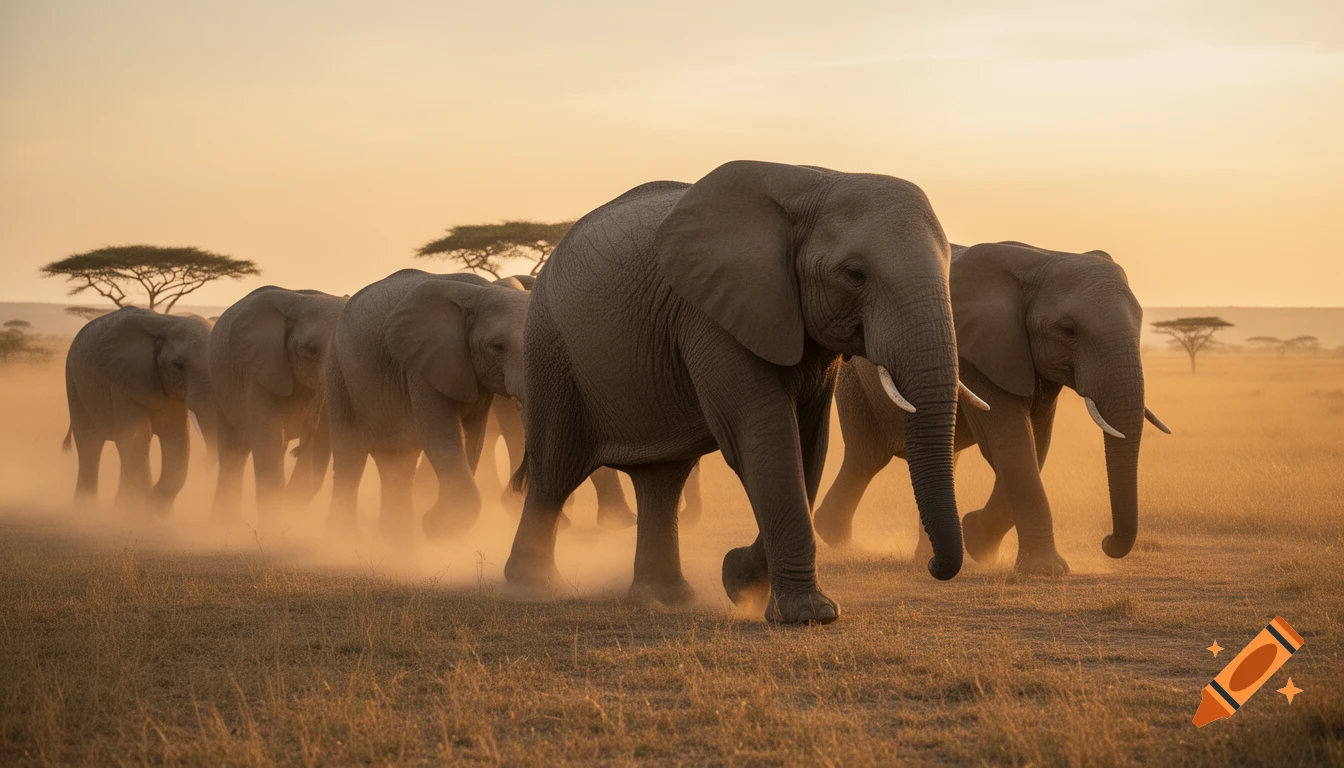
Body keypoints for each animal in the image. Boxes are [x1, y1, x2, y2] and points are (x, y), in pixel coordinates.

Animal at [62, 307, 215, 514]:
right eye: (178, 365)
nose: (204, 462)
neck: (168, 322)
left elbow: (176, 437)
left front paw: (153, 511)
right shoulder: (124, 381)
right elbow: (140, 435)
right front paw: (141, 511)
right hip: (74, 382)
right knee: (89, 444)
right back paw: (86, 510)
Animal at [208, 286, 347, 526]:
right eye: (311, 350)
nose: (296, 452)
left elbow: (320, 448)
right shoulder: (262, 370)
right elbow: (268, 442)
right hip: (221, 386)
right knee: (233, 454)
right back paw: (222, 526)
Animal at [324, 270, 529, 541]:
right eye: (497, 346)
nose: (513, 496)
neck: (482, 291)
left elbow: (473, 435)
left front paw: (435, 524)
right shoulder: (422, 363)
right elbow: (440, 432)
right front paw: (435, 526)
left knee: (397, 460)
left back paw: (394, 541)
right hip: (338, 370)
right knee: (351, 455)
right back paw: (344, 538)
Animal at [504, 160, 983, 624]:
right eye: (854, 274)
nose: (933, 567)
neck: (819, 183)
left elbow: (808, 443)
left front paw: (737, 580)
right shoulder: (712, 314)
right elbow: (764, 435)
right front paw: (808, 616)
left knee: (662, 480)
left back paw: (665, 599)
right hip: (550, 349)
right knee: (556, 470)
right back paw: (536, 588)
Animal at [812, 241, 1171, 574]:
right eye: (1067, 330)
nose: (1107, 542)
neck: (1042, 259)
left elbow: (1036, 443)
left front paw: (977, 543)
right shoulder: (974, 354)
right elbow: (1011, 443)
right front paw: (1043, 571)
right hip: (852, 381)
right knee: (868, 456)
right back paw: (833, 534)